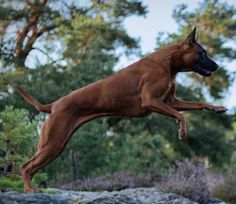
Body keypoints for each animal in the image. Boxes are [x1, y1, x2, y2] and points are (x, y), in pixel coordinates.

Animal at [15, 26, 227, 191]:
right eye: (203, 53)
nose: (217, 66)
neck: (168, 63)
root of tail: (53, 105)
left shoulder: (170, 101)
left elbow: (198, 104)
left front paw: (217, 108)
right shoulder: (151, 101)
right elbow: (181, 116)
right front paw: (182, 132)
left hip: (56, 146)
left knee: (31, 167)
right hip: (53, 143)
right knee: (26, 167)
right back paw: (29, 190)